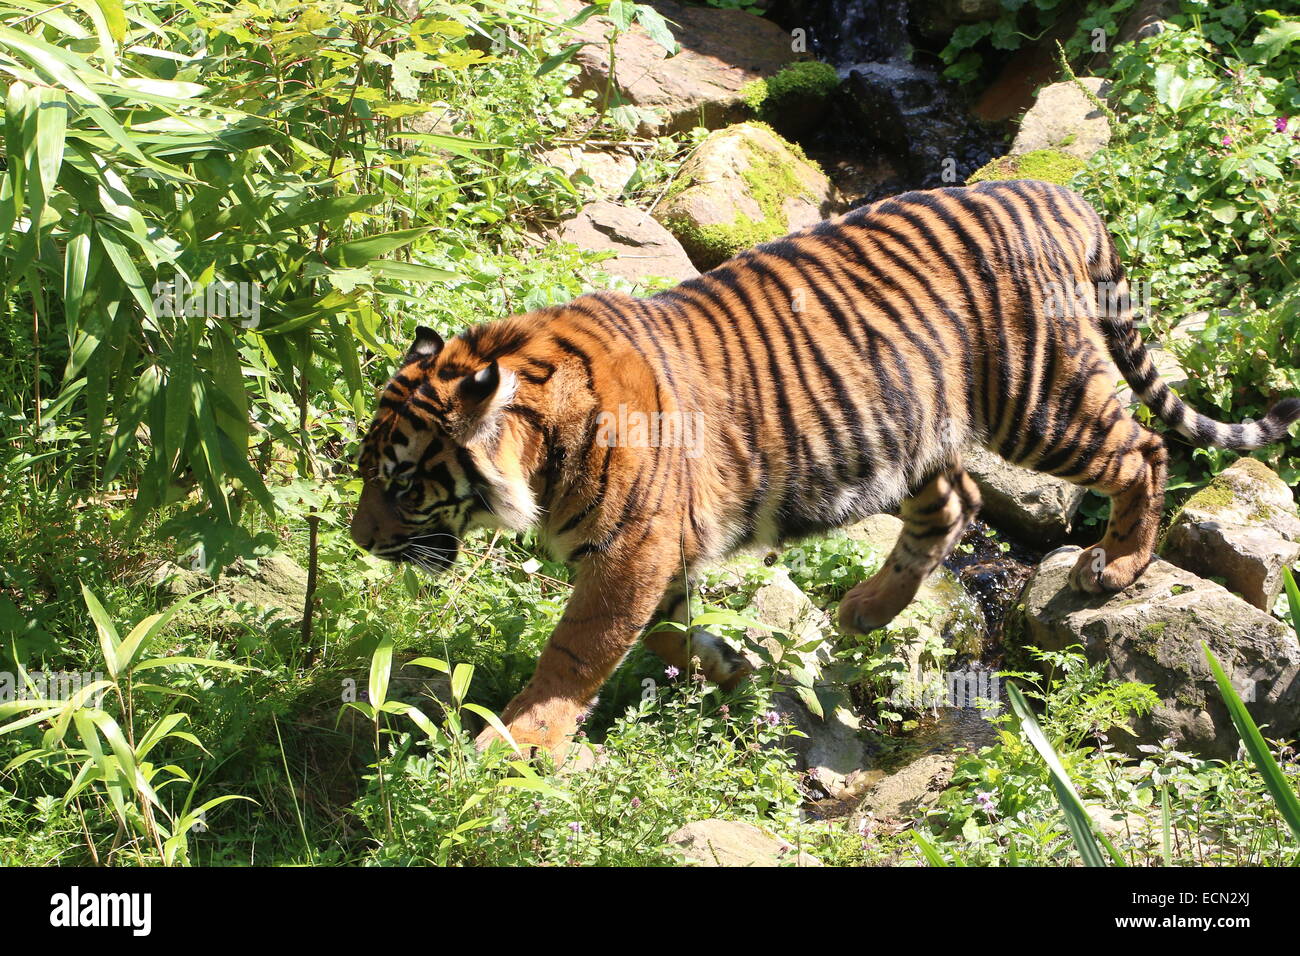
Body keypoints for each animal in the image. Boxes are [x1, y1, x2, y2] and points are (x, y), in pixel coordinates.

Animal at [348, 179, 1300, 759]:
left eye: (400, 482)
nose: (357, 540)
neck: (542, 443)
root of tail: (1056, 193)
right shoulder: (660, 551)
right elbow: (659, 634)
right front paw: (728, 666)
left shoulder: (633, 549)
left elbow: (578, 649)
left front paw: (518, 747)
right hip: (916, 427)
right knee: (954, 501)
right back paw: (865, 610)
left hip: (1039, 401)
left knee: (1143, 450)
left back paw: (1122, 563)